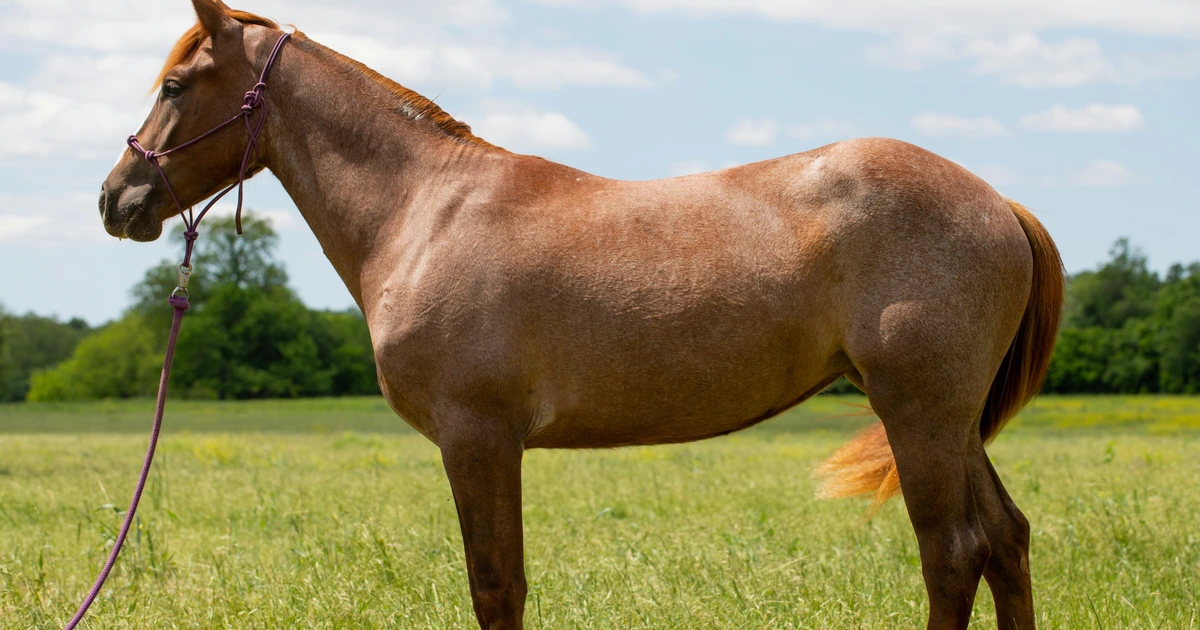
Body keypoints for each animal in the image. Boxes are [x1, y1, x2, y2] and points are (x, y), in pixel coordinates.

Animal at [99, 1, 1064, 628]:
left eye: (176, 84)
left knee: (953, 554)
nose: (117, 198)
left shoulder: (478, 438)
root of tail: (998, 202)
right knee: (1005, 542)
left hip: (918, 413)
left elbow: (496, 587)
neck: (426, 209)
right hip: (947, 421)